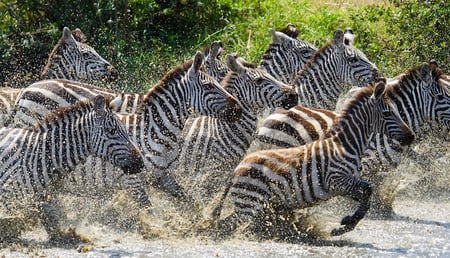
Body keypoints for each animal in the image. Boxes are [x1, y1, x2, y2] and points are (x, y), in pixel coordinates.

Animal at [0, 95, 144, 241]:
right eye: (112, 131)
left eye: (126, 131)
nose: (140, 163)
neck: (40, 155)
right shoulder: (11, 198)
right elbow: (14, 223)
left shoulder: (45, 202)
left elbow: (54, 227)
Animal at [211, 79, 414, 238]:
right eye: (388, 113)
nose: (411, 136)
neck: (346, 146)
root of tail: (238, 168)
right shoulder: (337, 181)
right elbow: (368, 189)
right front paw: (346, 223)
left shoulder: (344, 187)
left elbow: (366, 196)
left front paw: (345, 225)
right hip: (249, 204)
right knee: (225, 226)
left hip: (254, 205)